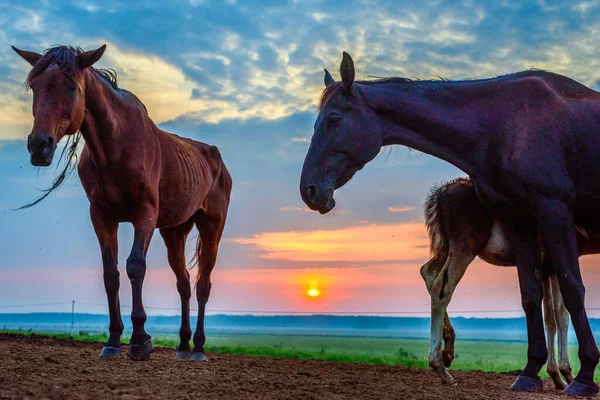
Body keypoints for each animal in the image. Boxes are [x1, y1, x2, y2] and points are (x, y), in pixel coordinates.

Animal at [12, 45, 232, 360]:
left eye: (72, 87)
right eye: (35, 87)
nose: (39, 145)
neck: (115, 146)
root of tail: (216, 160)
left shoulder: (145, 216)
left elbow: (135, 266)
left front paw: (140, 340)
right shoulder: (102, 217)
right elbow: (111, 274)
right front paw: (113, 341)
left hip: (211, 228)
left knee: (203, 284)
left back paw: (199, 347)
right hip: (174, 231)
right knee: (183, 284)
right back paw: (182, 345)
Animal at [422, 177, 600, 390]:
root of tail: (439, 195)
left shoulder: (545, 267)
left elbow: (550, 316)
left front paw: (557, 376)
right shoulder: (554, 264)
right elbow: (561, 314)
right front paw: (567, 374)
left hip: (446, 246)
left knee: (428, 272)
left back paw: (448, 351)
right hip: (464, 247)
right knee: (442, 287)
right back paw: (440, 367)